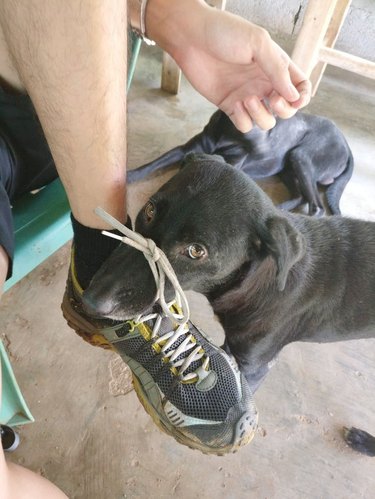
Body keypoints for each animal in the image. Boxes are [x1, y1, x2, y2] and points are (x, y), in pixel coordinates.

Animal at [128, 110, 354, 216]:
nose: (266, 145)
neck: (228, 132)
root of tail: (345, 141)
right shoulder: (185, 150)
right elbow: (151, 165)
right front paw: (128, 175)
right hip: (288, 167)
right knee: (300, 196)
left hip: (301, 157)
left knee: (317, 207)